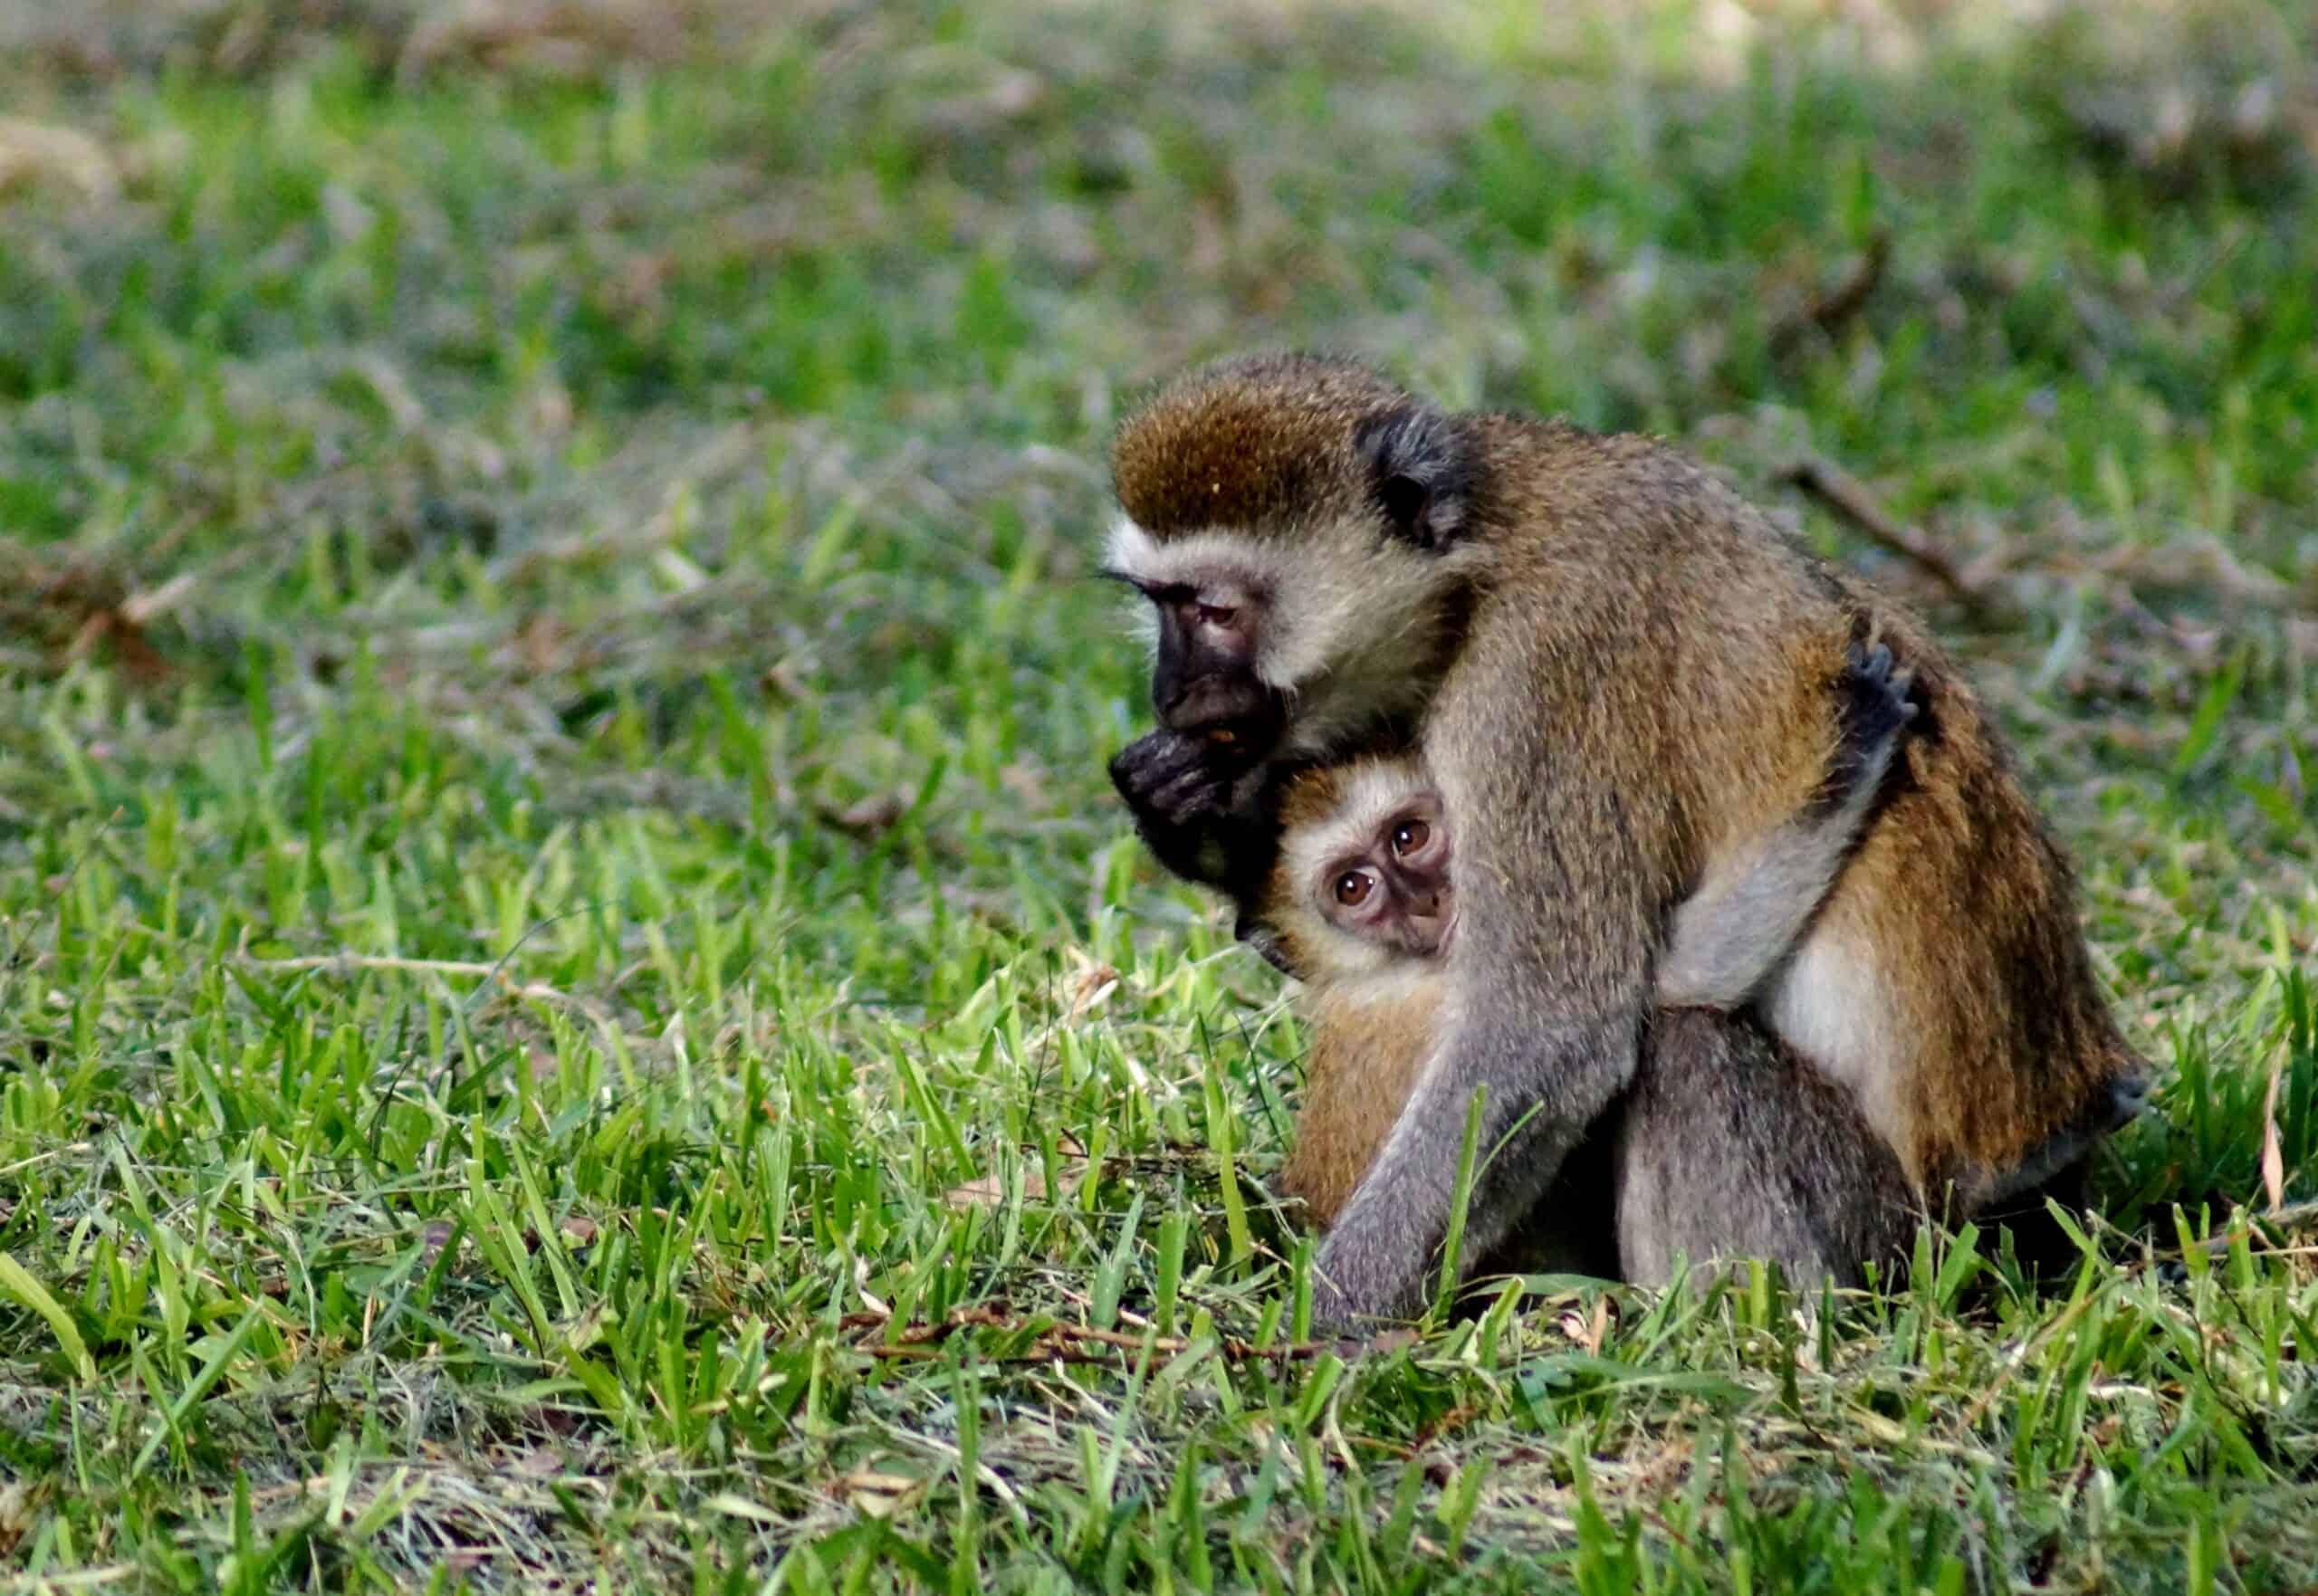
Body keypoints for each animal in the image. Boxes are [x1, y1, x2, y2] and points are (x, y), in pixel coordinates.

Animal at [1103, 352, 2149, 1325]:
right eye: (1156, 604)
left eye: (1212, 610)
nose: (1171, 692)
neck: (1479, 559)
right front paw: (1183, 805)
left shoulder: (1541, 677)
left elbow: (1549, 1033)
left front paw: (1319, 1332)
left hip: (1894, 1235)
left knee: (1684, 1049)